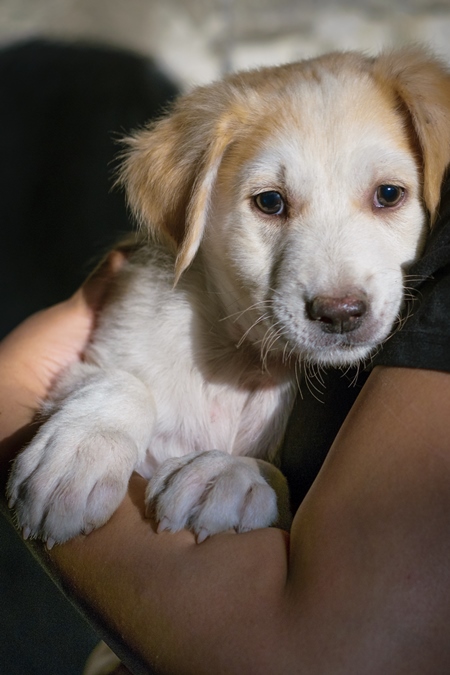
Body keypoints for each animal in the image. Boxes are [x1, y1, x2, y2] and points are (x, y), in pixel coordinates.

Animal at [7, 47, 450, 548]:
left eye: (389, 194)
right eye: (270, 202)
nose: (340, 314)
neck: (244, 363)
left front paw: (228, 473)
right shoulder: (93, 356)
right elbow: (121, 381)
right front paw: (80, 450)